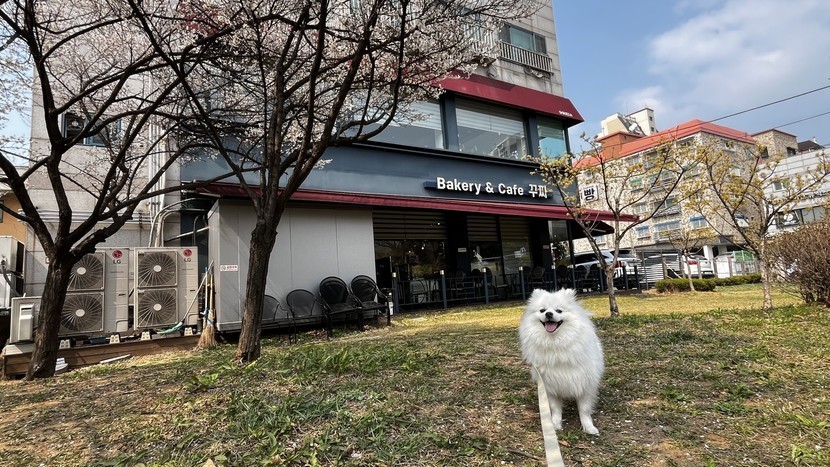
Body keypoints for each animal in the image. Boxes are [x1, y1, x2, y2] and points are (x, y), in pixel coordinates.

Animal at [518, 288, 604, 435]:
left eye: (559, 311)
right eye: (542, 310)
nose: (549, 313)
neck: (555, 343)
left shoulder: (584, 383)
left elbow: (584, 409)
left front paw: (589, 427)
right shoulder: (550, 385)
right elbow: (555, 409)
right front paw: (554, 425)